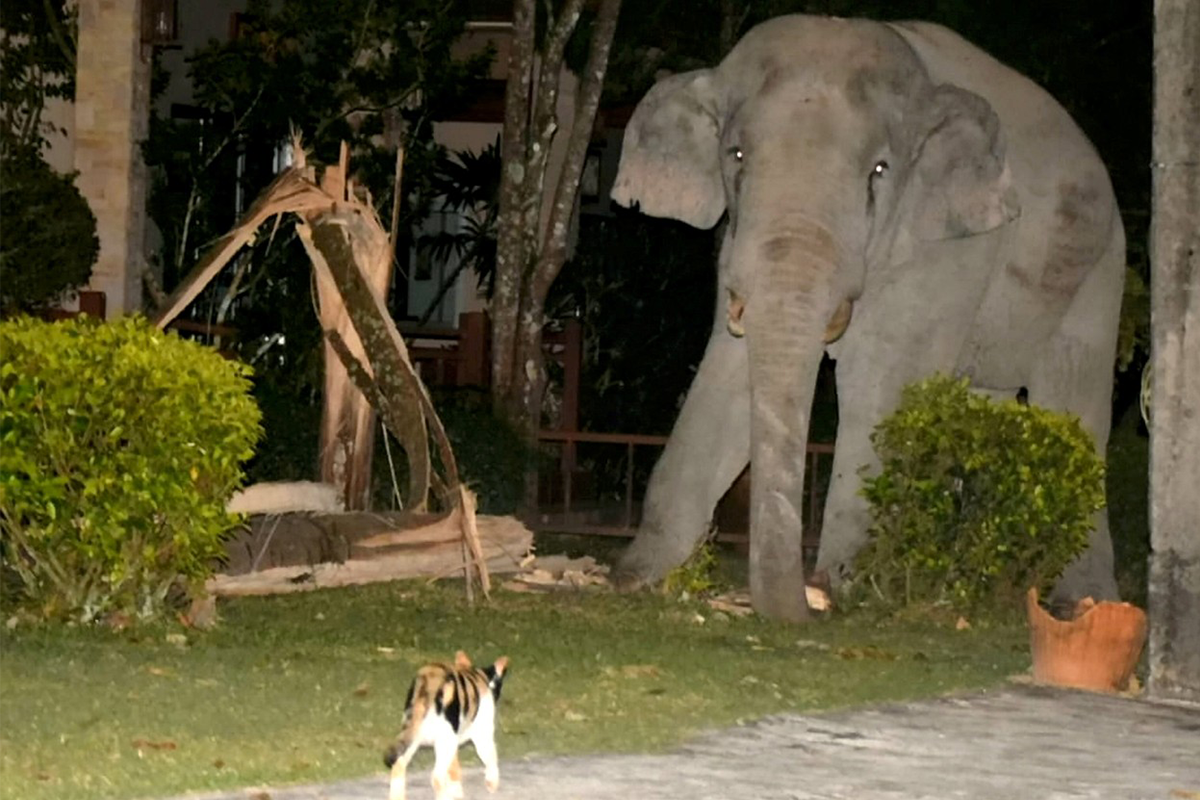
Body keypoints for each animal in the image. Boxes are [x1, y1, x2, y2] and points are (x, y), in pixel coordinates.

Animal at [609, 14, 1123, 623]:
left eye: (880, 170)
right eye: (734, 156)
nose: (804, 606)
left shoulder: (949, 248)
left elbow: (877, 384)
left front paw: (845, 589)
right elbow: (729, 374)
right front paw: (638, 576)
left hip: (1098, 272)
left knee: (1076, 401)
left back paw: (1082, 603)